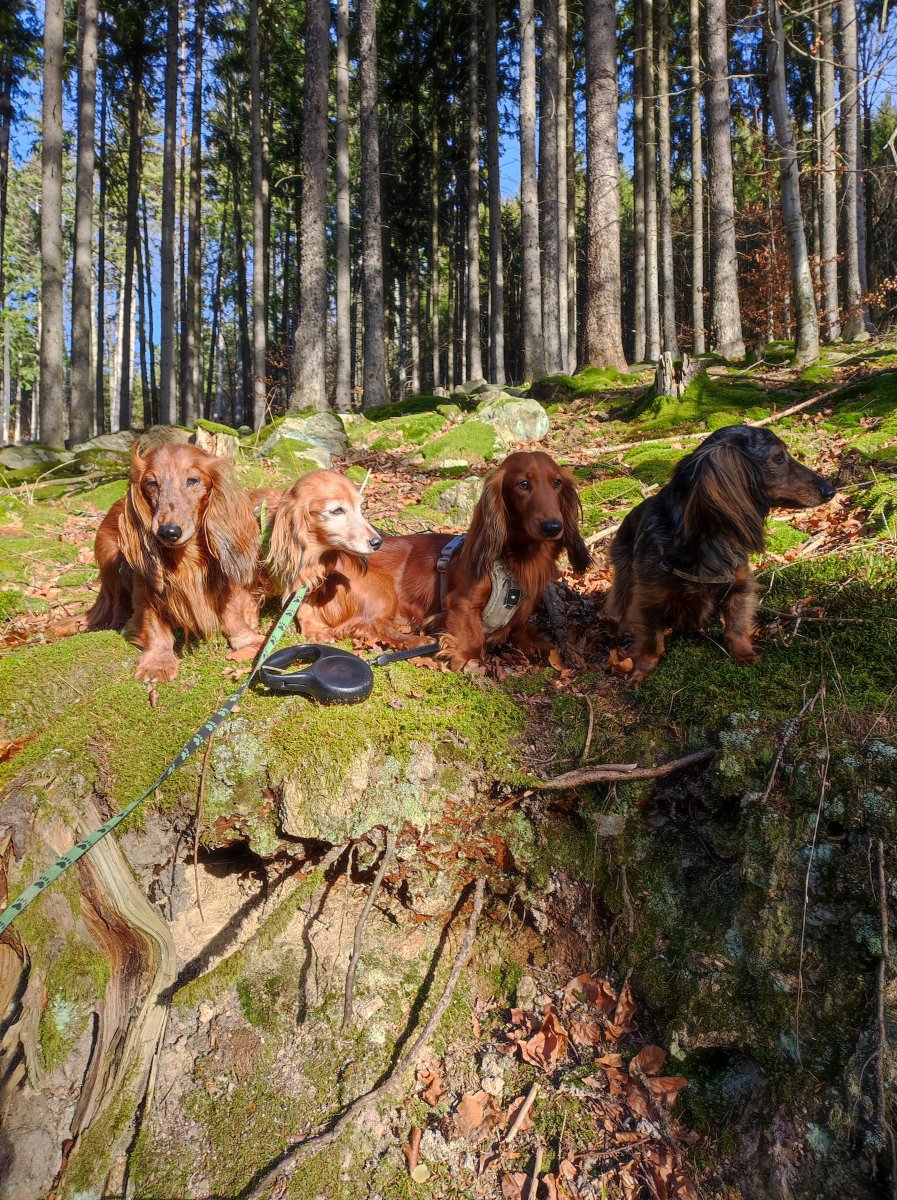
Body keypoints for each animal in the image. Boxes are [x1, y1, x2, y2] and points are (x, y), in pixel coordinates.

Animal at [87, 443, 264, 682]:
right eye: (151, 483)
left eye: (193, 481)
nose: (168, 532)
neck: (186, 559)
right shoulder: (146, 588)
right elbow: (154, 627)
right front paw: (157, 662)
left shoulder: (225, 580)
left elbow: (232, 611)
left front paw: (247, 640)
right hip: (111, 563)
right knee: (116, 605)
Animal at [265, 451, 591, 671]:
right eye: (523, 484)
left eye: (557, 483)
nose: (553, 527)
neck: (517, 560)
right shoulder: (459, 601)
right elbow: (474, 637)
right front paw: (466, 658)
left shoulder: (523, 607)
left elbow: (527, 632)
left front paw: (555, 650)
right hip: (380, 590)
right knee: (369, 626)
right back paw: (414, 641)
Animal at [605, 424, 836, 682]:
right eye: (778, 457)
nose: (831, 490)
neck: (710, 539)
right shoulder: (649, 598)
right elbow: (653, 641)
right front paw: (642, 670)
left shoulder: (739, 587)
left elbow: (736, 628)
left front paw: (744, 654)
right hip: (625, 571)